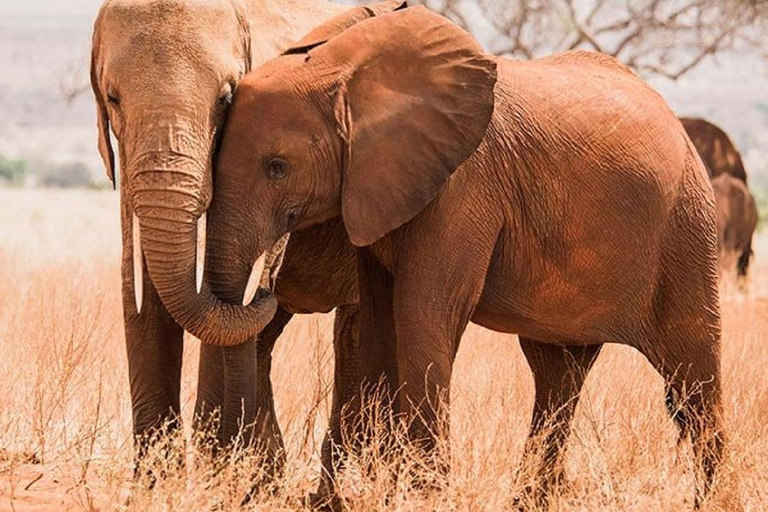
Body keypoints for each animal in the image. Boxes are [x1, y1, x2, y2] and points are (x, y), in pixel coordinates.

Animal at [208, 5, 728, 508]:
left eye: (277, 167)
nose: (268, 283)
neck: (346, 74)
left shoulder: (463, 186)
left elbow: (424, 311)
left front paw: (425, 494)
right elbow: (380, 321)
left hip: (686, 229)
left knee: (691, 375)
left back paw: (713, 498)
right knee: (558, 374)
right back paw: (528, 501)